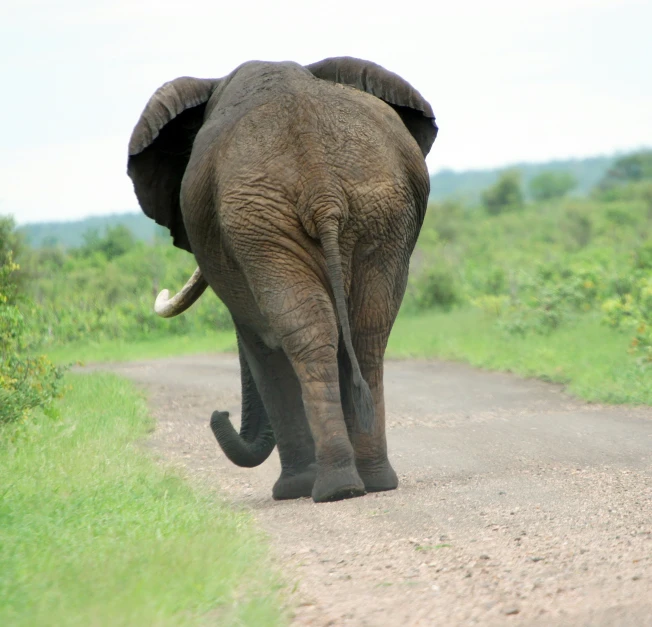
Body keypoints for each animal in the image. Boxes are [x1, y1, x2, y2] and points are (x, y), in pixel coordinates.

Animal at [127, 56, 438, 502]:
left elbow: (259, 343)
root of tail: (322, 187)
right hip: (369, 214)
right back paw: (369, 483)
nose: (218, 413)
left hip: (274, 223)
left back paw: (332, 489)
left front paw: (291, 490)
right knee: (365, 331)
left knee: (305, 335)